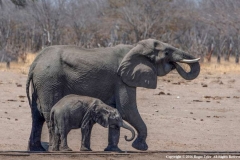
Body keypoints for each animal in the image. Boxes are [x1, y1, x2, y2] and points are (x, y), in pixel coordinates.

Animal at [25, 38, 201, 151]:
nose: (175, 64)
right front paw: (140, 147)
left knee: (36, 116)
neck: (135, 47)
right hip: (50, 81)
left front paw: (113, 150)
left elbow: (118, 112)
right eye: (166, 53)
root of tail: (35, 62)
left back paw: (37, 150)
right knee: (47, 113)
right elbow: (127, 110)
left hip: (42, 82)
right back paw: (52, 150)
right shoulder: (121, 79)